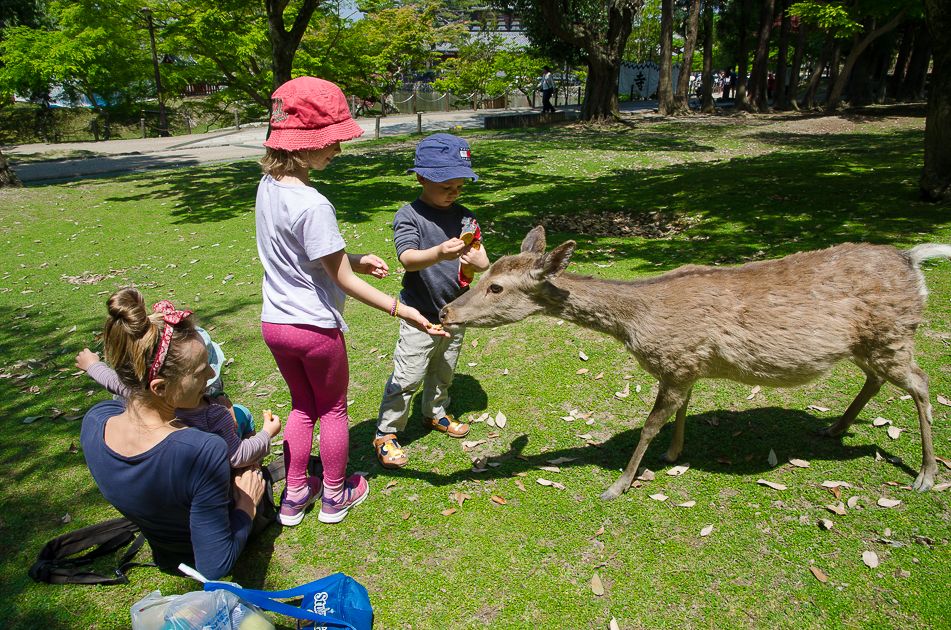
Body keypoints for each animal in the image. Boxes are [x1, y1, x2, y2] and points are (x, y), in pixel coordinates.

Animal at [440, 227, 951, 504]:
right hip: (872, 343)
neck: (636, 324)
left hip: (893, 335)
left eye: (497, 287)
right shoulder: (686, 366)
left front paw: (618, 485)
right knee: (876, 380)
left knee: (922, 383)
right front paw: (674, 454)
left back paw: (926, 476)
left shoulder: (677, 359)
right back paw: (834, 427)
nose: (445, 312)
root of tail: (913, 261)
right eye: (484, 274)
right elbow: (681, 411)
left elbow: (649, 424)